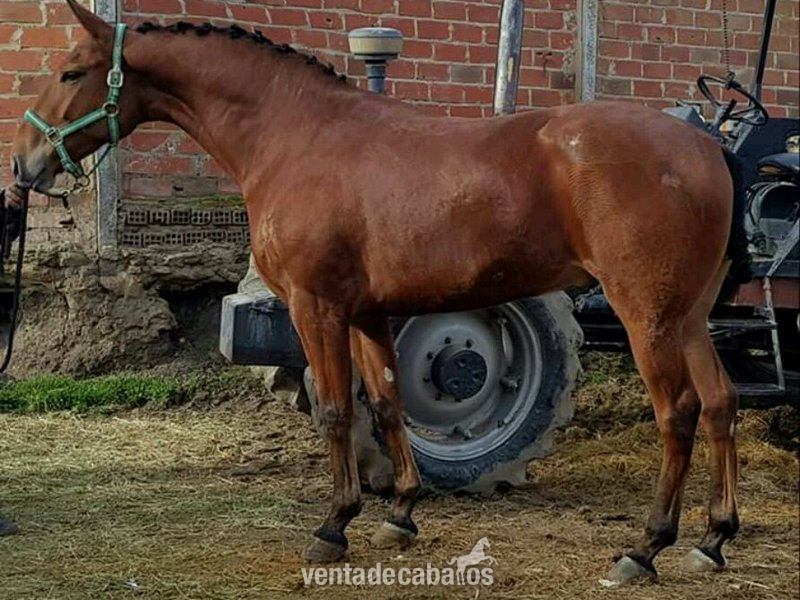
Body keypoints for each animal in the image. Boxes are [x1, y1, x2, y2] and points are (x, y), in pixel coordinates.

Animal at [12, 0, 752, 586]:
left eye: (71, 72)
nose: (24, 164)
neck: (296, 136)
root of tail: (706, 145)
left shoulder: (316, 308)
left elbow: (339, 411)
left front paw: (333, 526)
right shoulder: (369, 314)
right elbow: (389, 405)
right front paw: (400, 514)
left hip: (646, 314)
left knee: (679, 413)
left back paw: (646, 548)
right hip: (688, 316)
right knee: (720, 402)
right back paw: (713, 539)